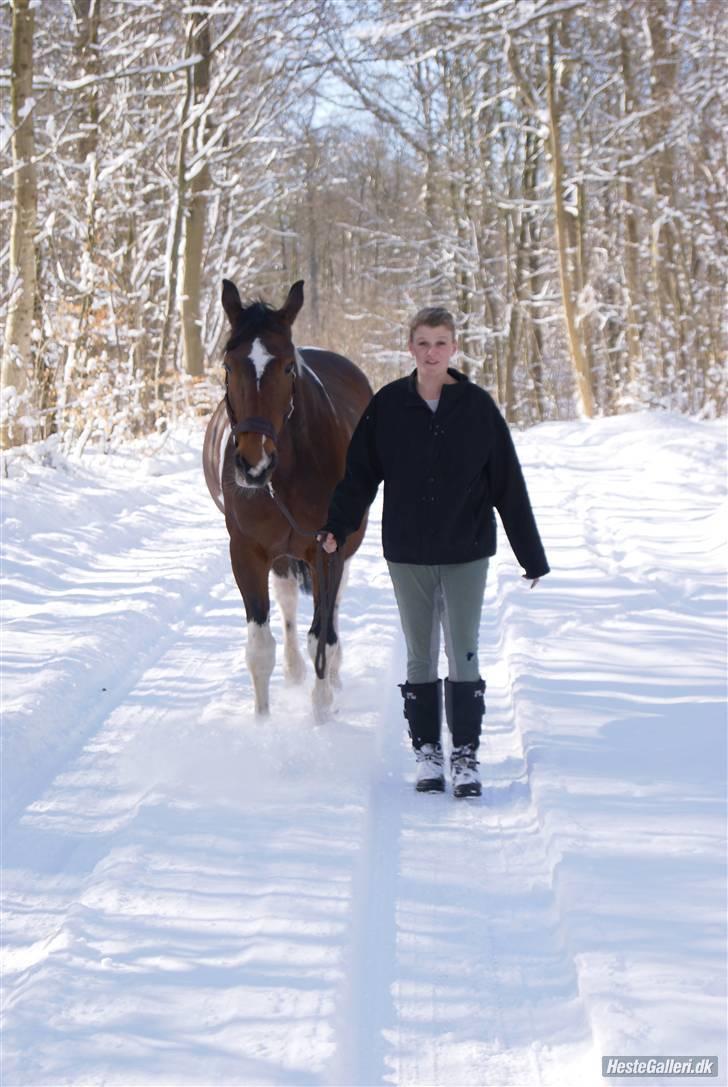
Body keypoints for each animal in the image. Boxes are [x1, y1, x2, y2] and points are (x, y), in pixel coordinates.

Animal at [205, 280, 375, 717]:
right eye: (228, 367)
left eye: (286, 368)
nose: (254, 464)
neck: (284, 477)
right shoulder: (247, 552)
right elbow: (260, 648)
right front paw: (263, 721)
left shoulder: (326, 550)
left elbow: (323, 636)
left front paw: (322, 714)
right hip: (281, 556)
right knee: (287, 603)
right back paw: (296, 670)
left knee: (332, 613)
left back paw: (333, 676)